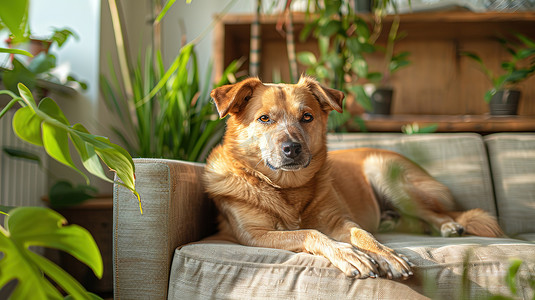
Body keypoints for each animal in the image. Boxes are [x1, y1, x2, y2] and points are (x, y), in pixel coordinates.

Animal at [203, 75, 504, 278]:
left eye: (307, 117)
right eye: (264, 119)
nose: (293, 148)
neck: (288, 188)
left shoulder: (340, 221)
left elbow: (362, 233)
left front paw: (385, 255)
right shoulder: (255, 235)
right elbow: (310, 232)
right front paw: (349, 255)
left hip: (385, 174)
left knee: (436, 213)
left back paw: (448, 225)